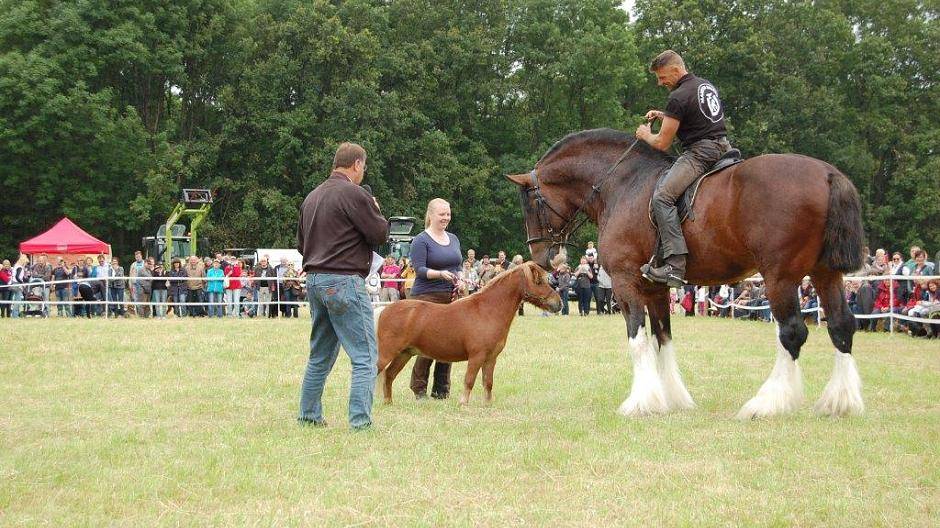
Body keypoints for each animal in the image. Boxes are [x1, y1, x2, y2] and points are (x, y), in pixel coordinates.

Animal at [506, 130, 868, 418]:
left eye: (531, 204)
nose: (541, 257)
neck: (622, 184)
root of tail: (826, 173)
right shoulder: (655, 288)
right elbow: (662, 339)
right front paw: (671, 398)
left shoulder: (625, 282)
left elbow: (638, 341)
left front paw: (641, 402)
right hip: (825, 274)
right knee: (841, 325)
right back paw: (840, 401)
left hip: (780, 277)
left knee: (792, 331)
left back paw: (768, 403)